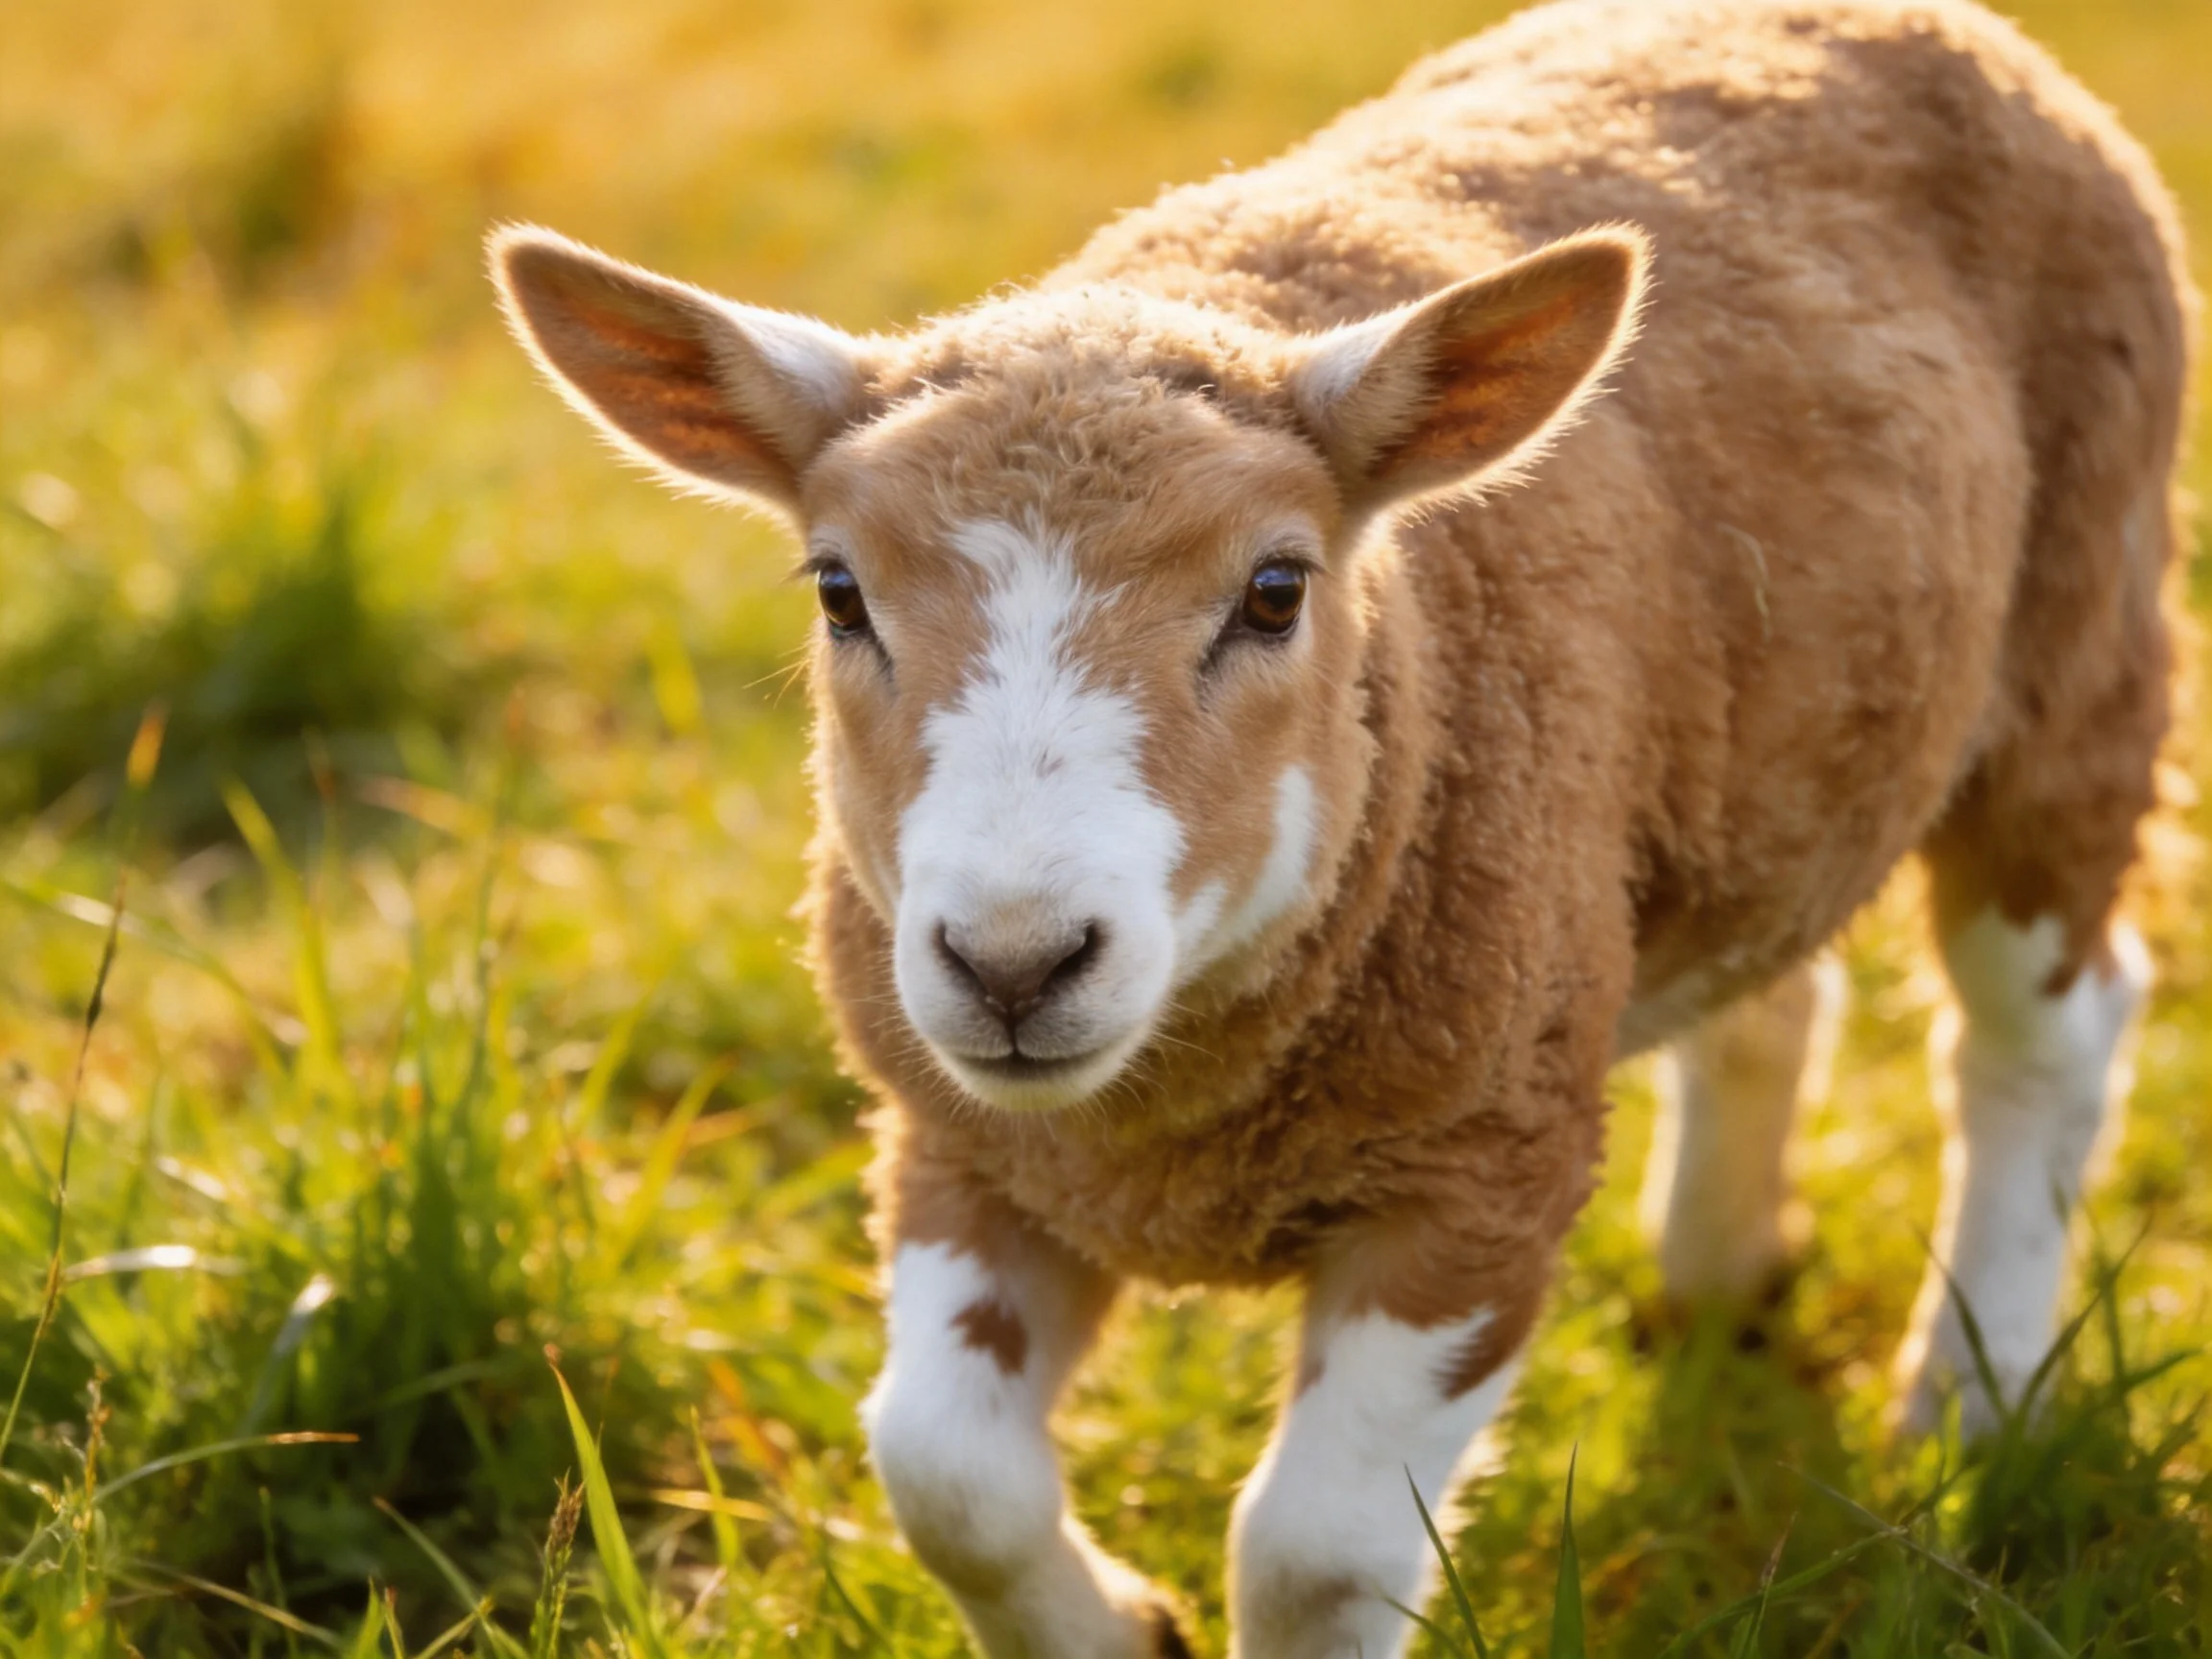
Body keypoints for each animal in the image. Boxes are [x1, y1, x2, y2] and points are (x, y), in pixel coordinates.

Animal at [490, 0, 2195, 1652]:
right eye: (839, 592)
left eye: (1274, 590)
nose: (1018, 964)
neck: (1165, 1128)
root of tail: (1910, 19)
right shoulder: (960, 1136)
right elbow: (944, 1475)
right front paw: (1127, 1632)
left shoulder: (1482, 1163)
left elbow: (1317, 1554)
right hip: (1744, 751)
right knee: (1775, 974)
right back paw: (1721, 1282)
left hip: (2081, 634)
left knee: (2048, 1033)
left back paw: (1972, 1408)